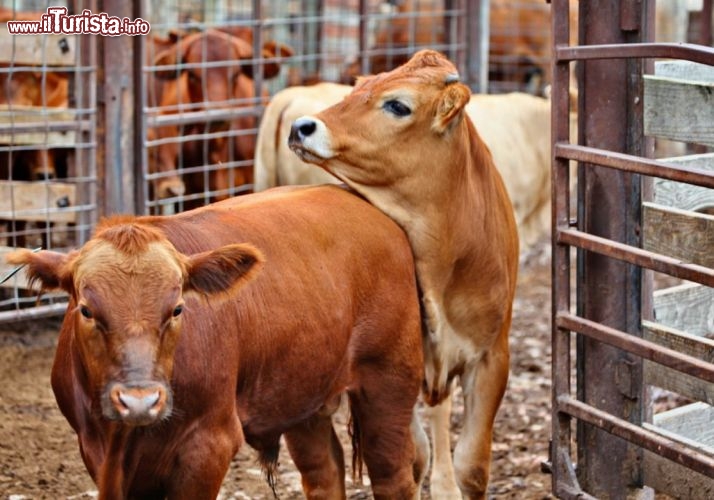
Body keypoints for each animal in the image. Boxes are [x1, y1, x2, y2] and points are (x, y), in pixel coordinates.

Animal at [5, 185, 426, 500]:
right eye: (87, 310)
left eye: (177, 308)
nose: (140, 401)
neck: (121, 439)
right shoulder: (95, 449)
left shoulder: (210, 445)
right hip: (302, 394)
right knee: (324, 472)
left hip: (389, 381)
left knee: (392, 474)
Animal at [290, 48, 516, 498]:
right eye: (357, 87)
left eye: (397, 105)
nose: (301, 126)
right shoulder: (394, 365)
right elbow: (414, 458)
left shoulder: (492, 358)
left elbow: (473, 466)